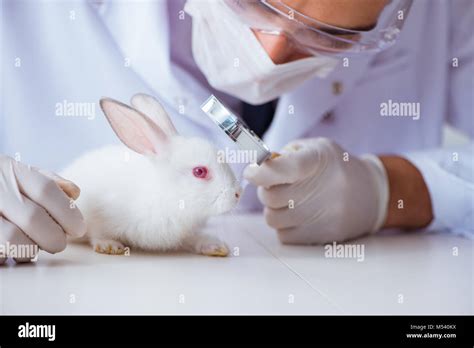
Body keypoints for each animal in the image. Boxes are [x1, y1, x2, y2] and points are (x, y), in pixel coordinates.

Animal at [60, 94, 243, 256]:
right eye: (199, 171)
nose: (238, 194)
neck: (169, 197)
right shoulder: (100, 215)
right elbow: (98, 232)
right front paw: (110, 246)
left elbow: (193, 239)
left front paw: (216, 246)